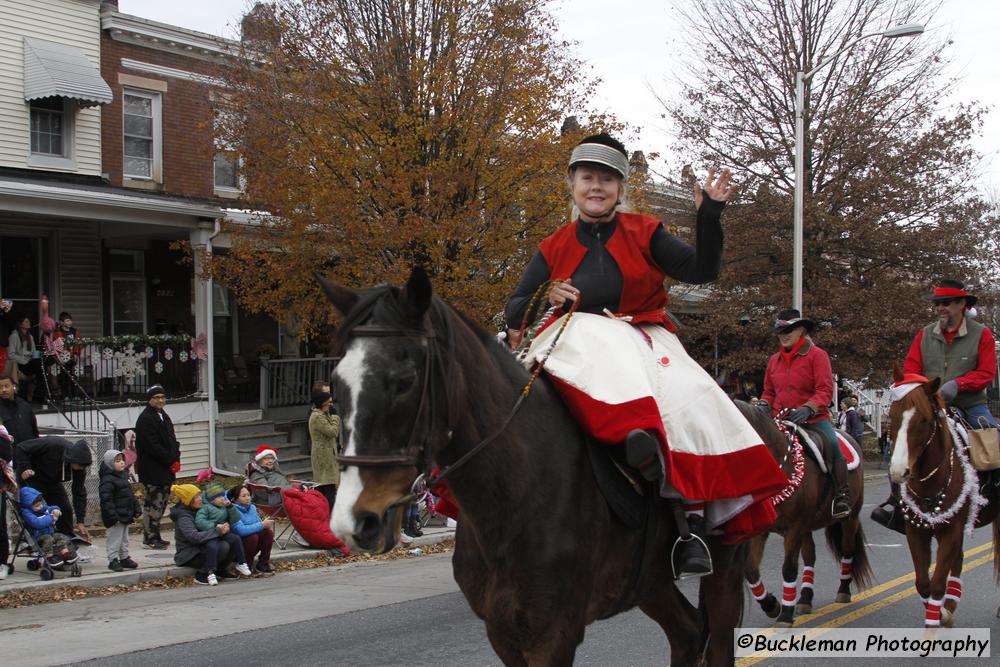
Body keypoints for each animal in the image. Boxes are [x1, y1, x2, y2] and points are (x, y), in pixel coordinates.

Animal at [740, 404, 872, 628]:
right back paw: (805, 599)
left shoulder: (794, 528)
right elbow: (750, 569)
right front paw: (771, 605)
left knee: (847, 550)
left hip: (850, 518)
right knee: (810, 556)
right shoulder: (764, 530)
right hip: (807, 527)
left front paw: (785, 614)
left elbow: (788, 569)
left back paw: (843, 591)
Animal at [888, 370, 996, 628]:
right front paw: (941, 614)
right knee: (958, 560)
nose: (898, 470)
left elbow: (937, 584)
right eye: (891, 415)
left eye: (924, 420)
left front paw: (934, 624)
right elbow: (923, 583)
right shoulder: (916, 531)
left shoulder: (950, 532)